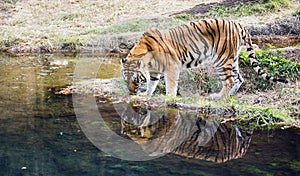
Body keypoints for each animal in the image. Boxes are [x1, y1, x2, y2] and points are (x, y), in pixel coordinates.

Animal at [120, 19, 288, 99]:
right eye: (125, 79)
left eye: (135, 79)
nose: (131, 92)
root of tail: (238, 24)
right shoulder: (154, 72)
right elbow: (151, 84)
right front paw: (146, 94)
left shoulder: (172, 66)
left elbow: (171, 84)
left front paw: (169, 97)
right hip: (233, 59)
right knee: (239, 78)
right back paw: (229, 96)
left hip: (222, 59)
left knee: (229, 80)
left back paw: (219, 97)